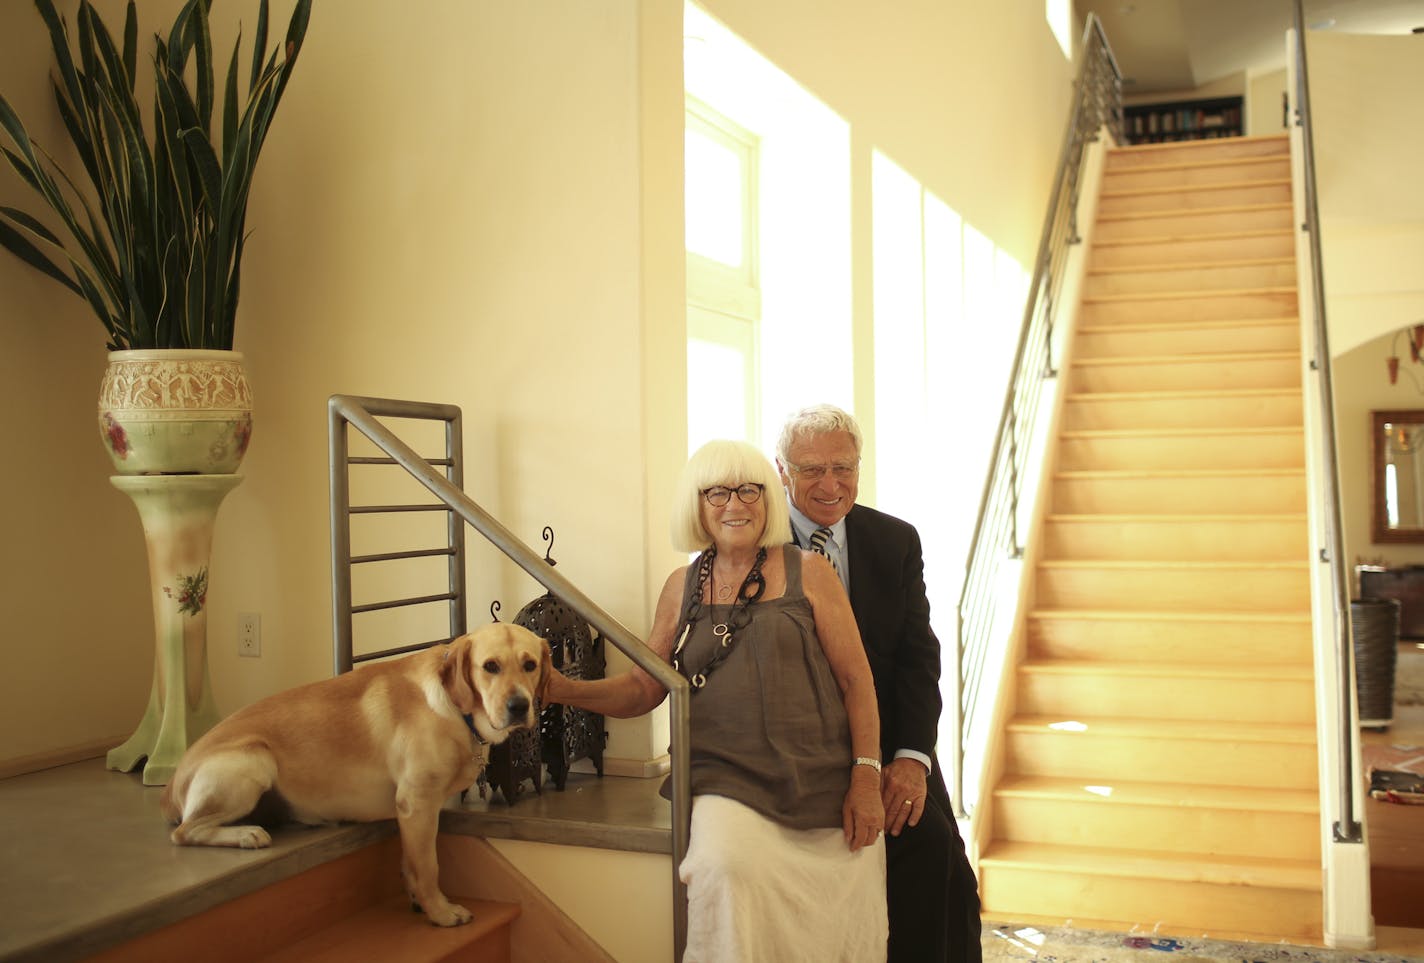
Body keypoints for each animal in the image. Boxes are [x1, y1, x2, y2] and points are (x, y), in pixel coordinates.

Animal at [160, 623, 549, 923]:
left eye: (530, 665)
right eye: (490, 666)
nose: (519, 706)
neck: (456, 710)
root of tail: (170, 785)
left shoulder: (413, 814)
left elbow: (411, 862)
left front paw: (417, 899)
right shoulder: (417, 802)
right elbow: (428, 866)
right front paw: (440, 912)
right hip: (255, 758)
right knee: (185, 832)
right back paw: (246, 834)